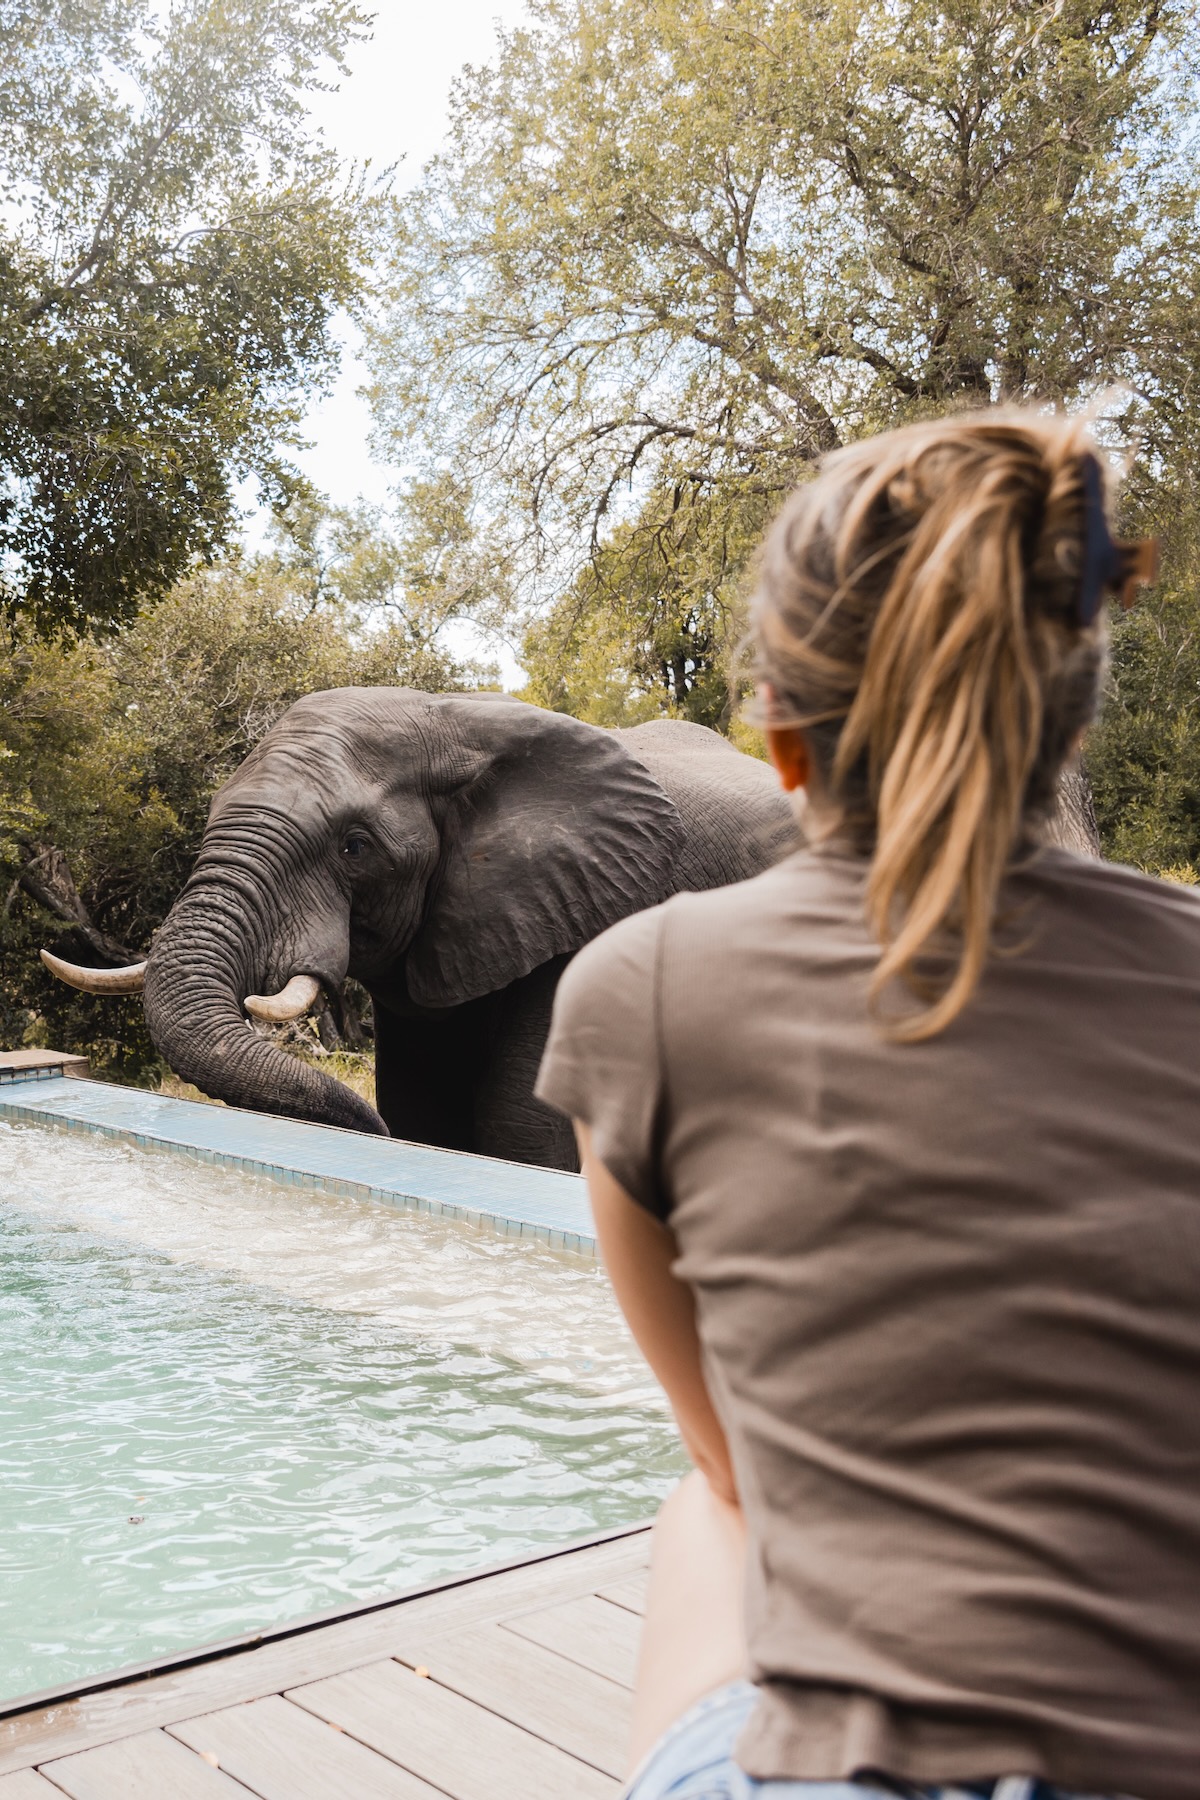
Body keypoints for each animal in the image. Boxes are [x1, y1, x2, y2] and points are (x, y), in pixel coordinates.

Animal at [44, 687, 798, 1166]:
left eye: (354, 847)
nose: (368, 1134)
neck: (450, 717)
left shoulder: (595, 907)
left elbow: (522, 1119)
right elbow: (421, 1104)